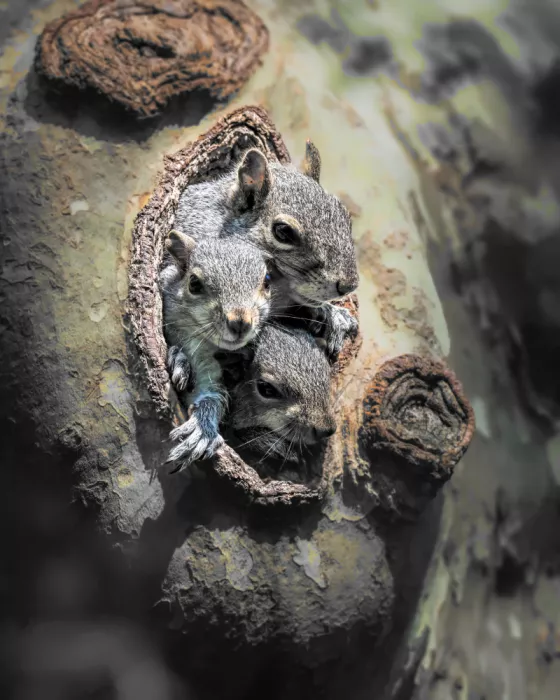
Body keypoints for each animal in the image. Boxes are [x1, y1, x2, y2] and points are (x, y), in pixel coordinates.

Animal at [160, 229, 272, 470]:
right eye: (193, 283)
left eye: (267, 281)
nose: (240, 322)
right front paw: (179, 359)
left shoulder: (211, 369)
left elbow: (211, 394)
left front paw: (202, 428)